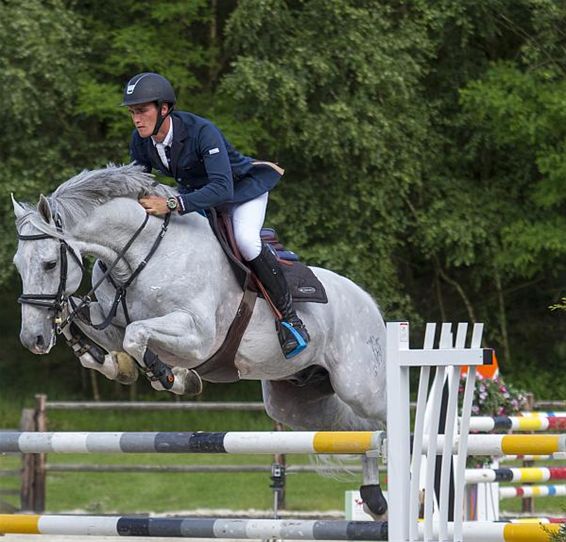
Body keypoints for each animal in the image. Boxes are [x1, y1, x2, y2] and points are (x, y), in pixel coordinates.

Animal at [11, 163, 390, 520]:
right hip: (297, 403)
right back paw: (374, 500)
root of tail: (371, 305)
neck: (140, 256)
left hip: (360, 386)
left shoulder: (197, 337)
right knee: (364, 432)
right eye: (18, 264)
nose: (33, 339)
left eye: (49, 264)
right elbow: (99, 333)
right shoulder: (112, 323)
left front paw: (171, 377)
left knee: (385, 421)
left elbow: (137, 336)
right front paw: (117, 366)